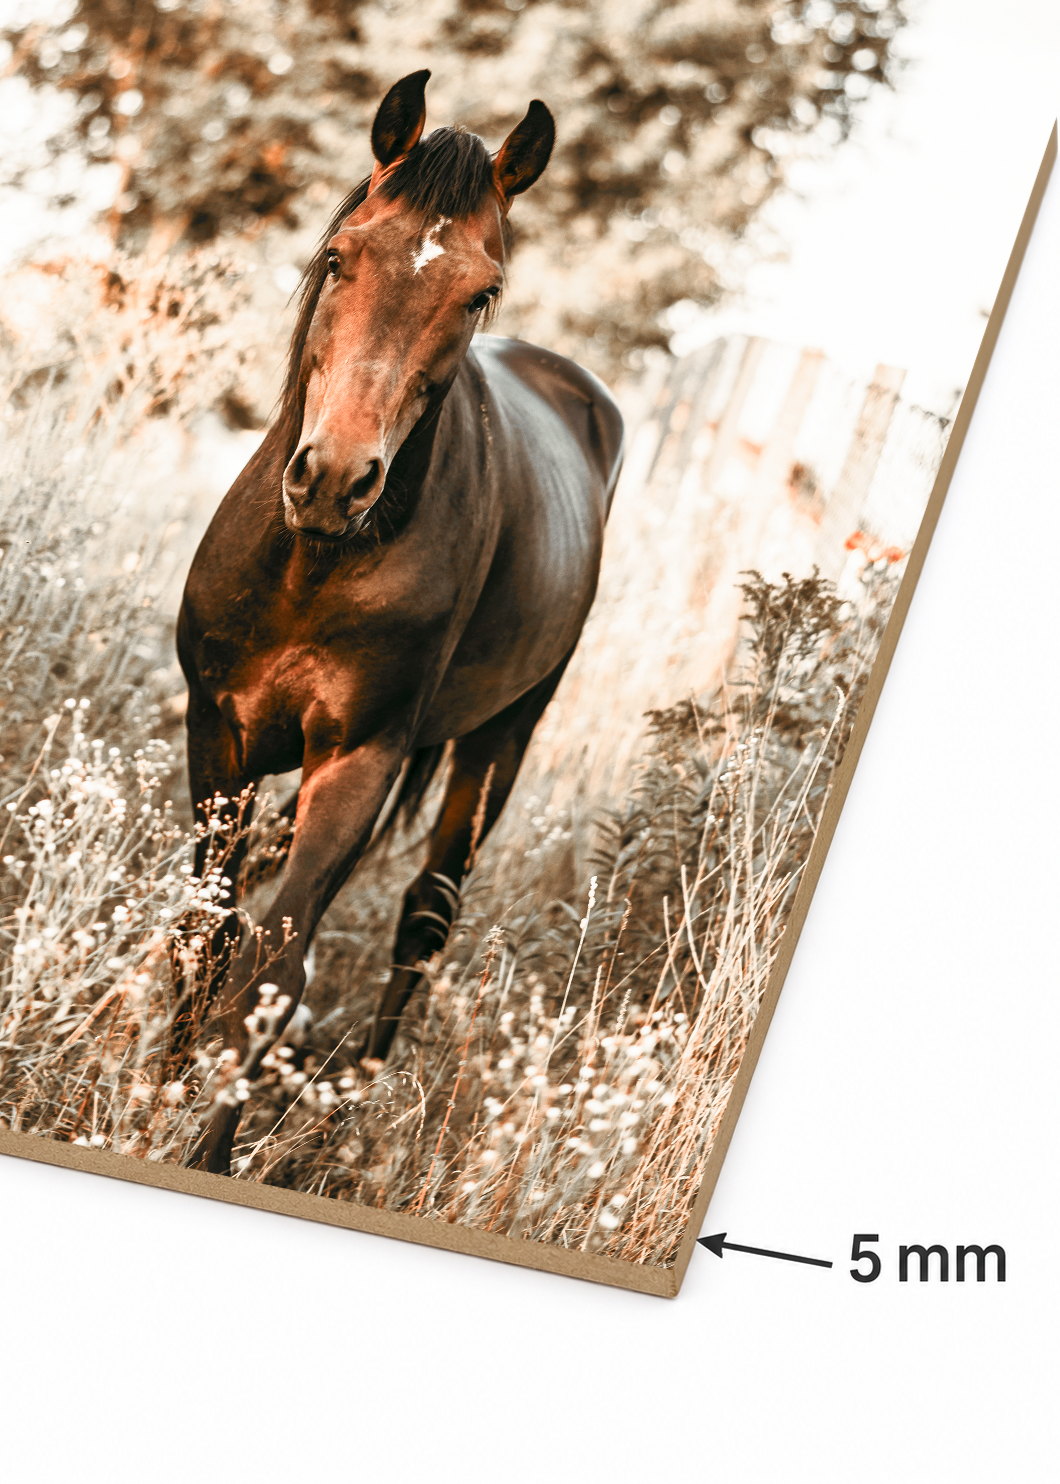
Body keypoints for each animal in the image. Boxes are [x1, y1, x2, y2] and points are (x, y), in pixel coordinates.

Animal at [177, 70, 624, 1174]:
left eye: (479, 293)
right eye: (342, 255)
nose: (336, 478)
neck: (313, 562)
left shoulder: (360, 760)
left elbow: (274, 971)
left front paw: (206, 1151)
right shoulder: (218, 734)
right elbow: (209, 927)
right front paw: (151, 1074)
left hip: (501, 739)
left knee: (424, 921)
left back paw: (346, 1124)